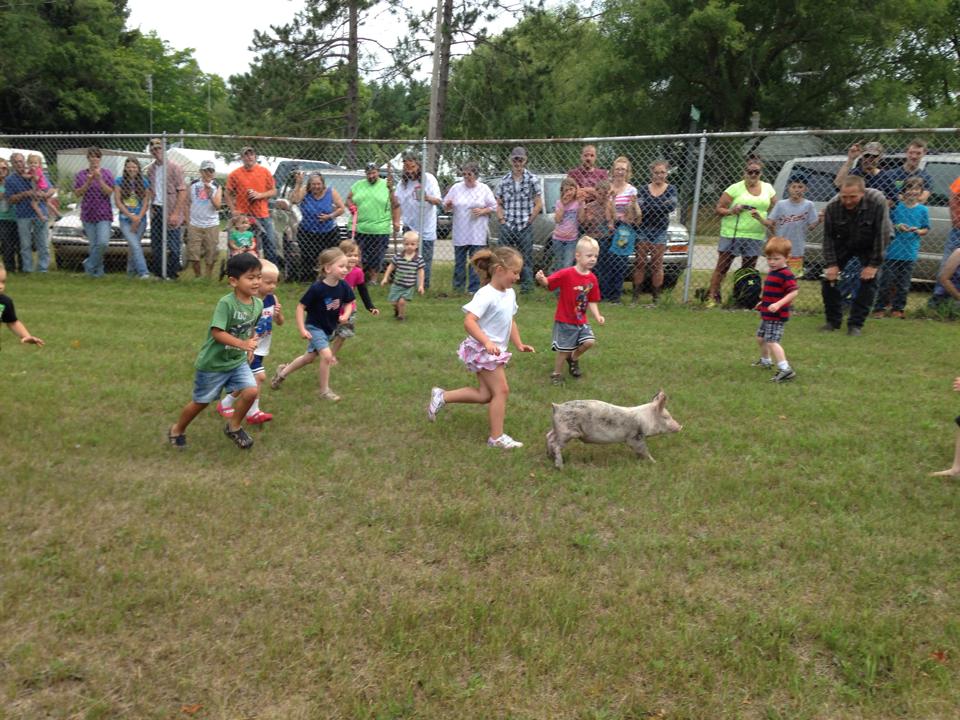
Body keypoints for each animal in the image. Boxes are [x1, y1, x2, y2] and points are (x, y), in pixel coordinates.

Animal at [548, 390, 684, 470]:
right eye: (666, 417)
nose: (680, 426)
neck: (645, 419)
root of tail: (557, 407)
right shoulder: (635, 437)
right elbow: (644, 450)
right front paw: (655, 462)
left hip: (558, 429)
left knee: (549, 436)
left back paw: (550, 456)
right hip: (567, 432)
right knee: (555, 444)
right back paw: (560, 466)